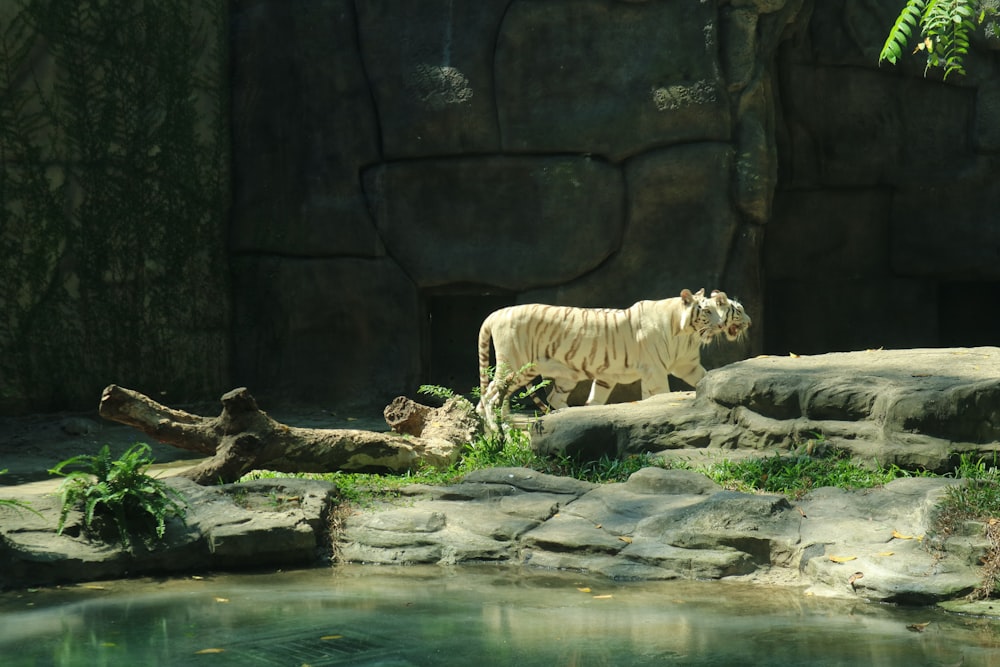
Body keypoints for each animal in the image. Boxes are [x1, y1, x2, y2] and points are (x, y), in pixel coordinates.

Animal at [476, 290, 752, 428]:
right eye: (707, 310)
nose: (749, 323)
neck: (685, 333)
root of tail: (497, 312)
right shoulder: (654, 371)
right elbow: (658, 395)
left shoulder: (687, 365)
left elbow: (704, 377)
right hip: (515, 365)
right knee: (490, 395)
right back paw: (492, 427)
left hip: (560, 375)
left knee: (548, 397)